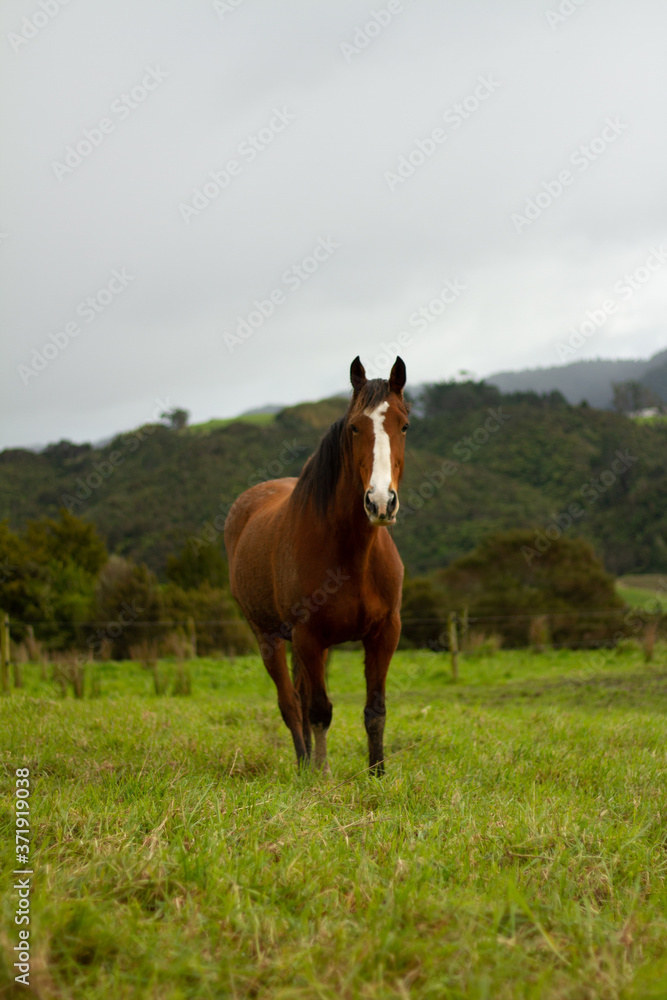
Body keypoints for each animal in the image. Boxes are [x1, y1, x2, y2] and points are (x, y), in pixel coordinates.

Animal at [224, 360, 410, 772]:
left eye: (404, 425)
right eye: (355, 427)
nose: (380, 503)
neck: (351, 555)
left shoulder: (384, 633)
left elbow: (375, 711)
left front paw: (378, 774)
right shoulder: (307, 637)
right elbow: (319, 711)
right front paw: (321, 774)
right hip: (269, 637)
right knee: (292, 704)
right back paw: (303, 764)